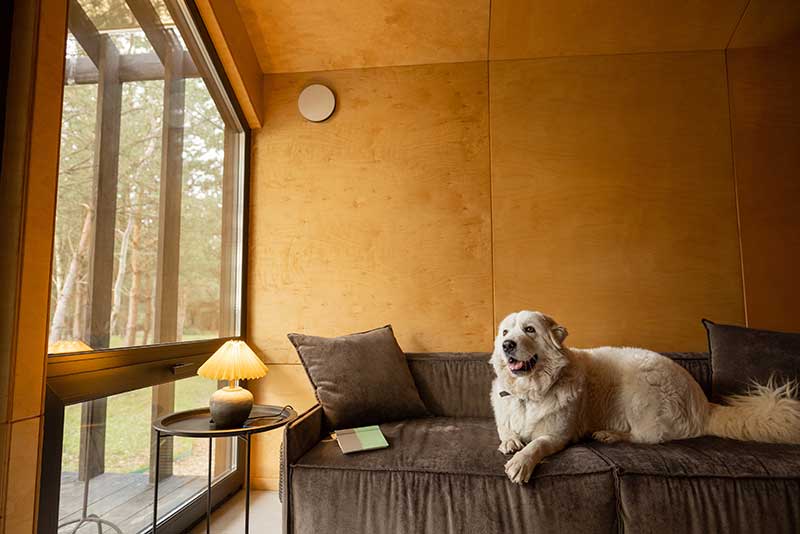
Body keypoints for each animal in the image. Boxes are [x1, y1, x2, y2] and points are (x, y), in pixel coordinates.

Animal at [490, 310, 800, 486]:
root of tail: (704, 404)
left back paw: (610, 435)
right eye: (505, 331)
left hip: (639, 384)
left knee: (647, 436)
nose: (507, 344)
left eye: (529, 329)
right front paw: (511, 442)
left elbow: (538, 444)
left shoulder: (558, 435)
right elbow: (507, 432)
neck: (528, 392)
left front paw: (521, 463)